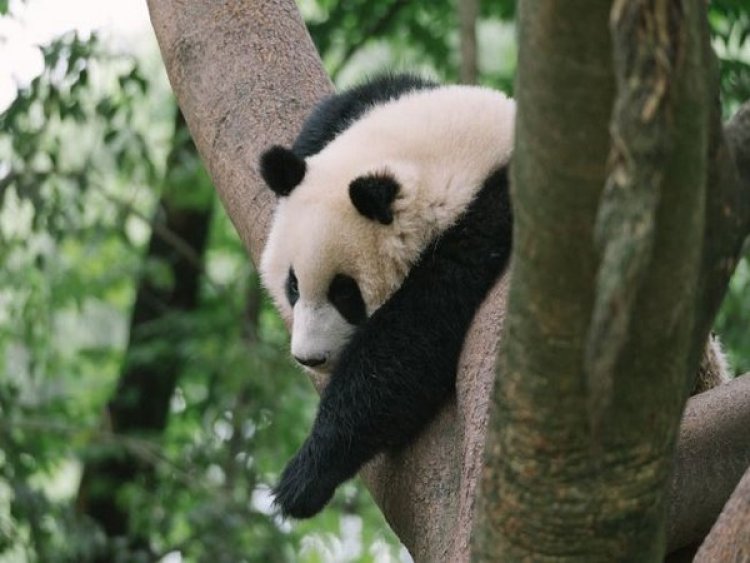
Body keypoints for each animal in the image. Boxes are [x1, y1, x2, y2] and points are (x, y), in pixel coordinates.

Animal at [256, 74, 732, 520]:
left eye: (345, 293)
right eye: (293, 285)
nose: (309, 357)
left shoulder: (488, 226)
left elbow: (406, 348)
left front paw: (305, 477)